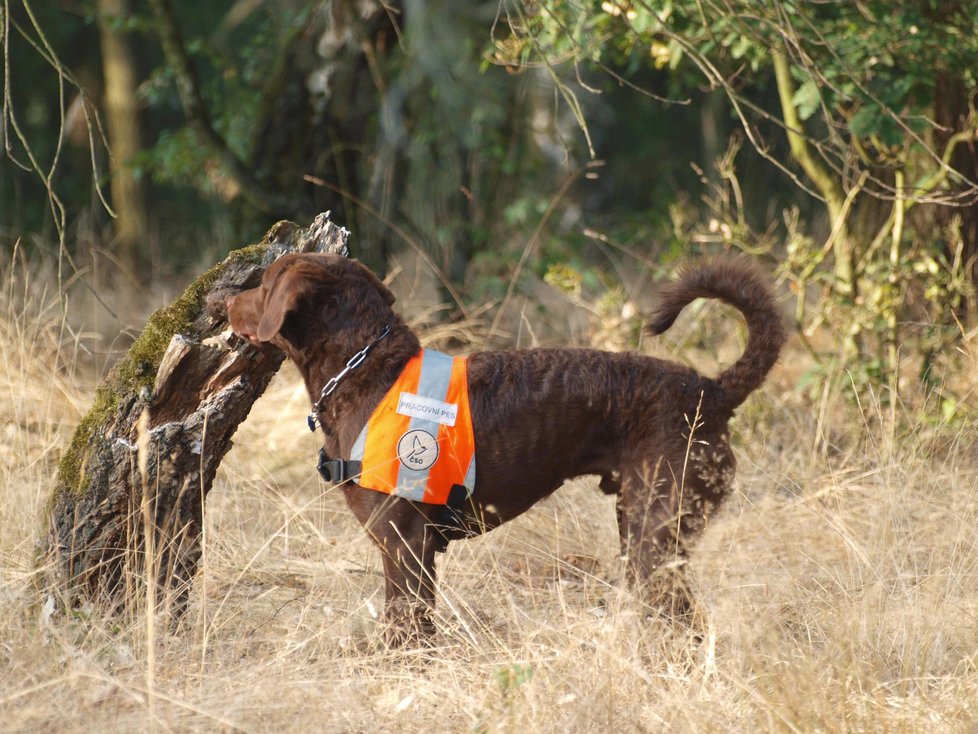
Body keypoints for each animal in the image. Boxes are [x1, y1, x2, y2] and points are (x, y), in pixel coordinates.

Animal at [225, 254, 780, 644]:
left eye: (264, 283)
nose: (223, 301)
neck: (364, 370)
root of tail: (711, 390)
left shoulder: (405, 542)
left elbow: (406, 626)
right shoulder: (412, 547)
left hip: (656, 532)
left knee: (684, 619)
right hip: (641, 525)